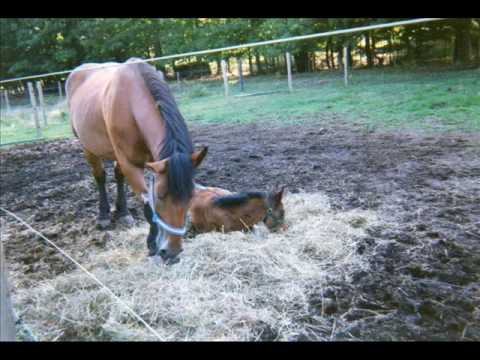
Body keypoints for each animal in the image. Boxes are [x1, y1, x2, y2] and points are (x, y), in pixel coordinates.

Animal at [66, 57, 207, 262]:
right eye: (161, 196)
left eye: (191, 196)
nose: (172, 252)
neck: (131, 102)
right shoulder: (131, 164)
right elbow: (148, 205)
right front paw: (152, 245)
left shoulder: (154, 162)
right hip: (88, 148)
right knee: (100, 176)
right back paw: (103, 215)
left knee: (118, 176)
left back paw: (123, 212)